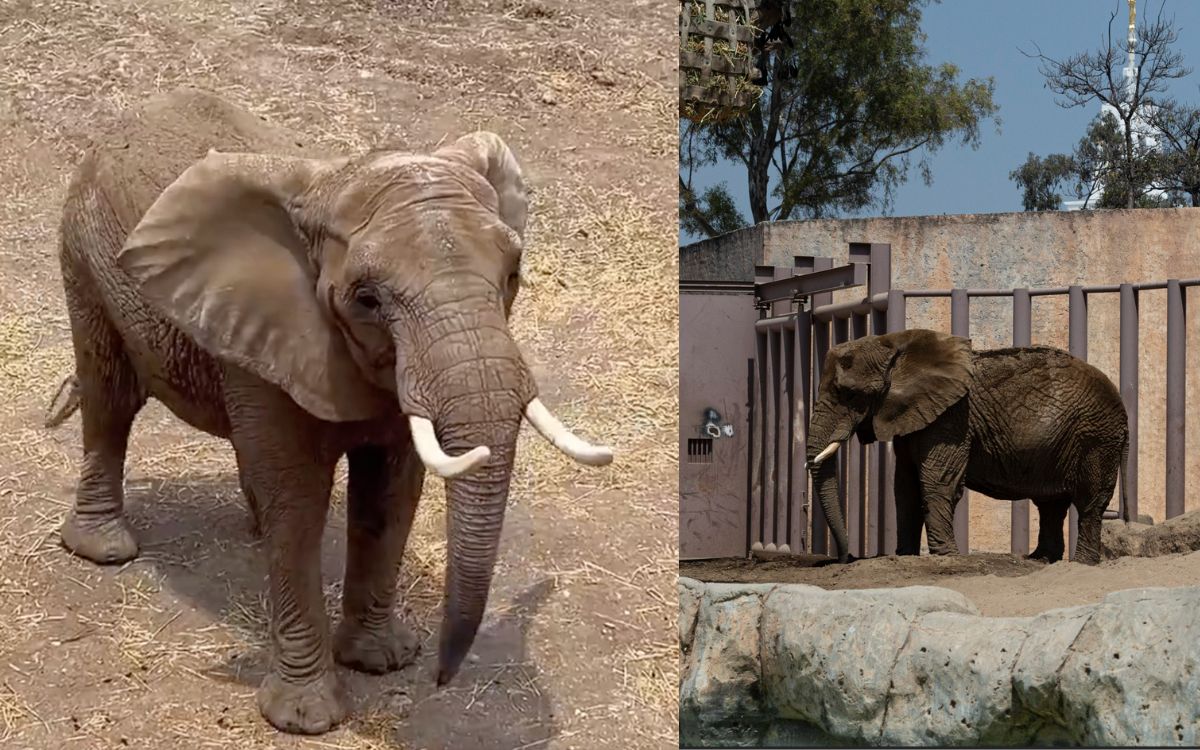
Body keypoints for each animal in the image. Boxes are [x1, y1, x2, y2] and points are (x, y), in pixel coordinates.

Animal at [43, 87, 613, 734]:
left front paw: (382, 661)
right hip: (82, 248)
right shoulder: (272, 325)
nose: (439, 678)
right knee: (110, 396)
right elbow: (298, 499)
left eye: (513, 274)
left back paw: (252, 525)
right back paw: (104, 548)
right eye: (367, 299)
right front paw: (306, 716)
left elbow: (390, 491)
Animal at [804, 329, 1129, 566]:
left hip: (1097, 436)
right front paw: (905, 555)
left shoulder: (951, 418)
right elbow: (905, 486)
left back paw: (1082, 563)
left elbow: (936, 481)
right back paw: (1040, 560)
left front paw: (946, 556)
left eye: (850, 394)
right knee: (1051, 504)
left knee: (1088, 502)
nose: (846, 558)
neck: (895, 345)